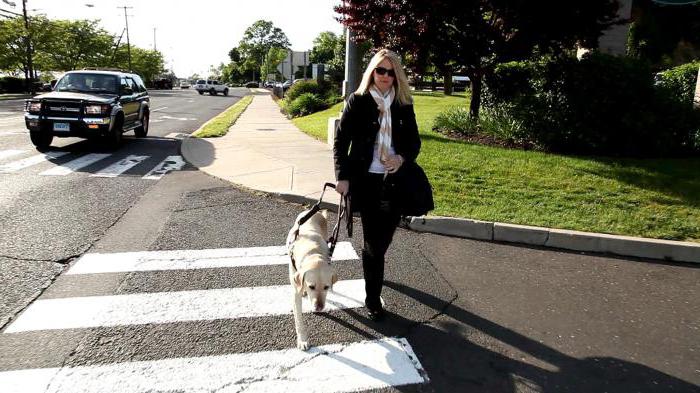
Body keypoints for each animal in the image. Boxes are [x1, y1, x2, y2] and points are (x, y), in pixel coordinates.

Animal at [286, 208, 338, 350]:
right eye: (311, 287)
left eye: (326, 287)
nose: (319, 307)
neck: (312, 252)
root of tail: (312, 210)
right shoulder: (295, 292)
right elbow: (299, 319)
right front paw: (302, 340)